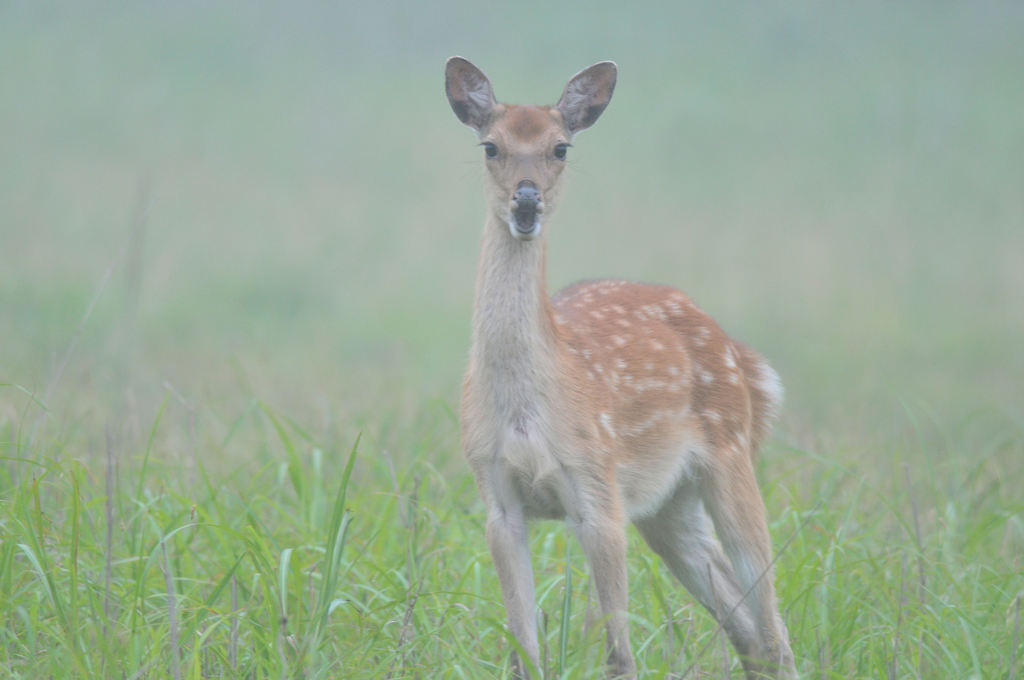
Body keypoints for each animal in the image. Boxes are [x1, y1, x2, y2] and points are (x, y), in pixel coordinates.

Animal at [446, 55, 790, 675]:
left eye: (560, 147)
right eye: (491, 146)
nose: (526, 201)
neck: (528, 407)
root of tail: (747, 360)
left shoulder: (597, 487)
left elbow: (619, 654)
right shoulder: (496, 496)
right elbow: (523, 648)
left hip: (731, 453)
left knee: (773, 622)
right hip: (667, 506)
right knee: (747, 626)